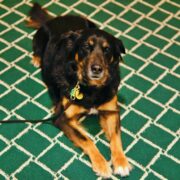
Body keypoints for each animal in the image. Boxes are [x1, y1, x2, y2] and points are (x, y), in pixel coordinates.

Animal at [27, 2, 132, 177]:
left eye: (107, 50)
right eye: (86, 47)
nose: (97, 69)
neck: (91, 88)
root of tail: (56, 18)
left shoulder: (111, 110)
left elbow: (116, 137)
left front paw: (121, 161)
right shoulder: (62, 117)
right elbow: (86, 139)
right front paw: (101, 164)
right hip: (40, 38)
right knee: (36, 50)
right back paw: (36, 59)